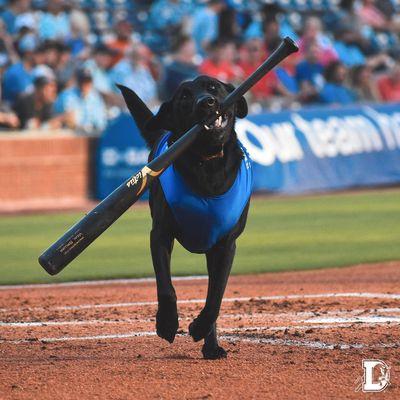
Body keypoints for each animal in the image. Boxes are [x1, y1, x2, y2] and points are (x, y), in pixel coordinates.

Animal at [117, 75, 252, 360]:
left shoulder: (225, 245)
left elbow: (216, 296)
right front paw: (167, 323)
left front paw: (200, 329)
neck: (207, 163)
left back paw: (211, 345)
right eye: (184, 97)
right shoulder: (160, 235)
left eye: (213, 87)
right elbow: (166, 288)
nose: (206, 103)